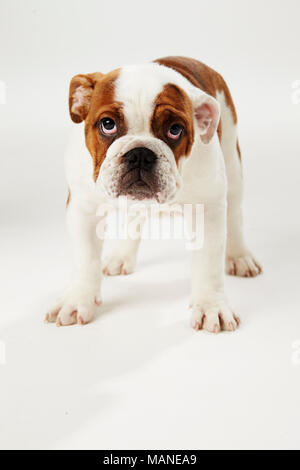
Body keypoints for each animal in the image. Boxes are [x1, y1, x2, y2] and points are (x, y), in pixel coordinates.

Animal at [45, 57, 262, 332]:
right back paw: (121, 256)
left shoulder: (209, 209)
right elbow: (85, 258)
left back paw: (239, 256)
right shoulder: (83, 208)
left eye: (175, 130)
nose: (140, 153)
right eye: (108, 124)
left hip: (233, 165)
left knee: (234, 215)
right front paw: (77, 299)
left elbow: (209, 264)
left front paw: (211, 306)